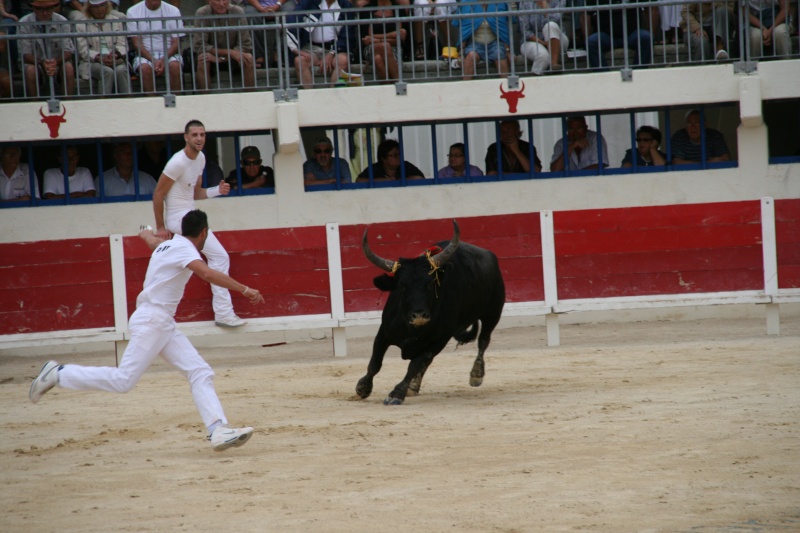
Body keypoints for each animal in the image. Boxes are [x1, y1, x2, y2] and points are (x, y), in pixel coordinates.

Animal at [358, 219, 506, 404]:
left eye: (430, 284)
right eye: (401, 286)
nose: (419, 315)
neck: (413, 329)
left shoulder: (439, 340)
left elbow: (414, 365)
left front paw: (396, 393)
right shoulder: (383, 332)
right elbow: (375, 362)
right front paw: (363, 387)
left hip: (492, 313)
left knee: (483, 340)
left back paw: (476, 375)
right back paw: (414, 387)